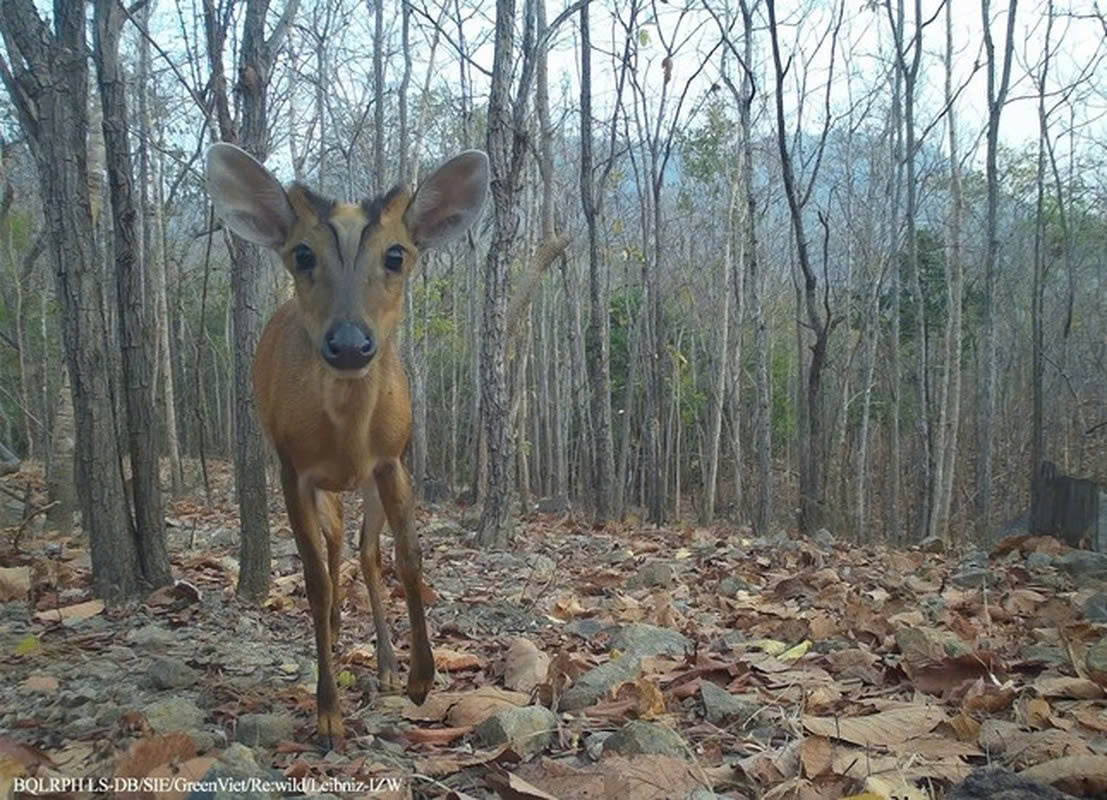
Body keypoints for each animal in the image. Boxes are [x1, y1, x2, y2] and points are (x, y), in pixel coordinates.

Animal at [204, 141, 489, 747]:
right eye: (302, 254)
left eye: (397, 255)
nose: (351, 343)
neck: (348, 438)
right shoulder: (292, 469)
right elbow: (312, 579)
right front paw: (328, 714)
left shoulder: (393, 460)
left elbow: (409, 558)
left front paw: (421, 678)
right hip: (319, 487)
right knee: (334, 550)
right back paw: (336, 632)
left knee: (363, 551)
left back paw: (384, 665)